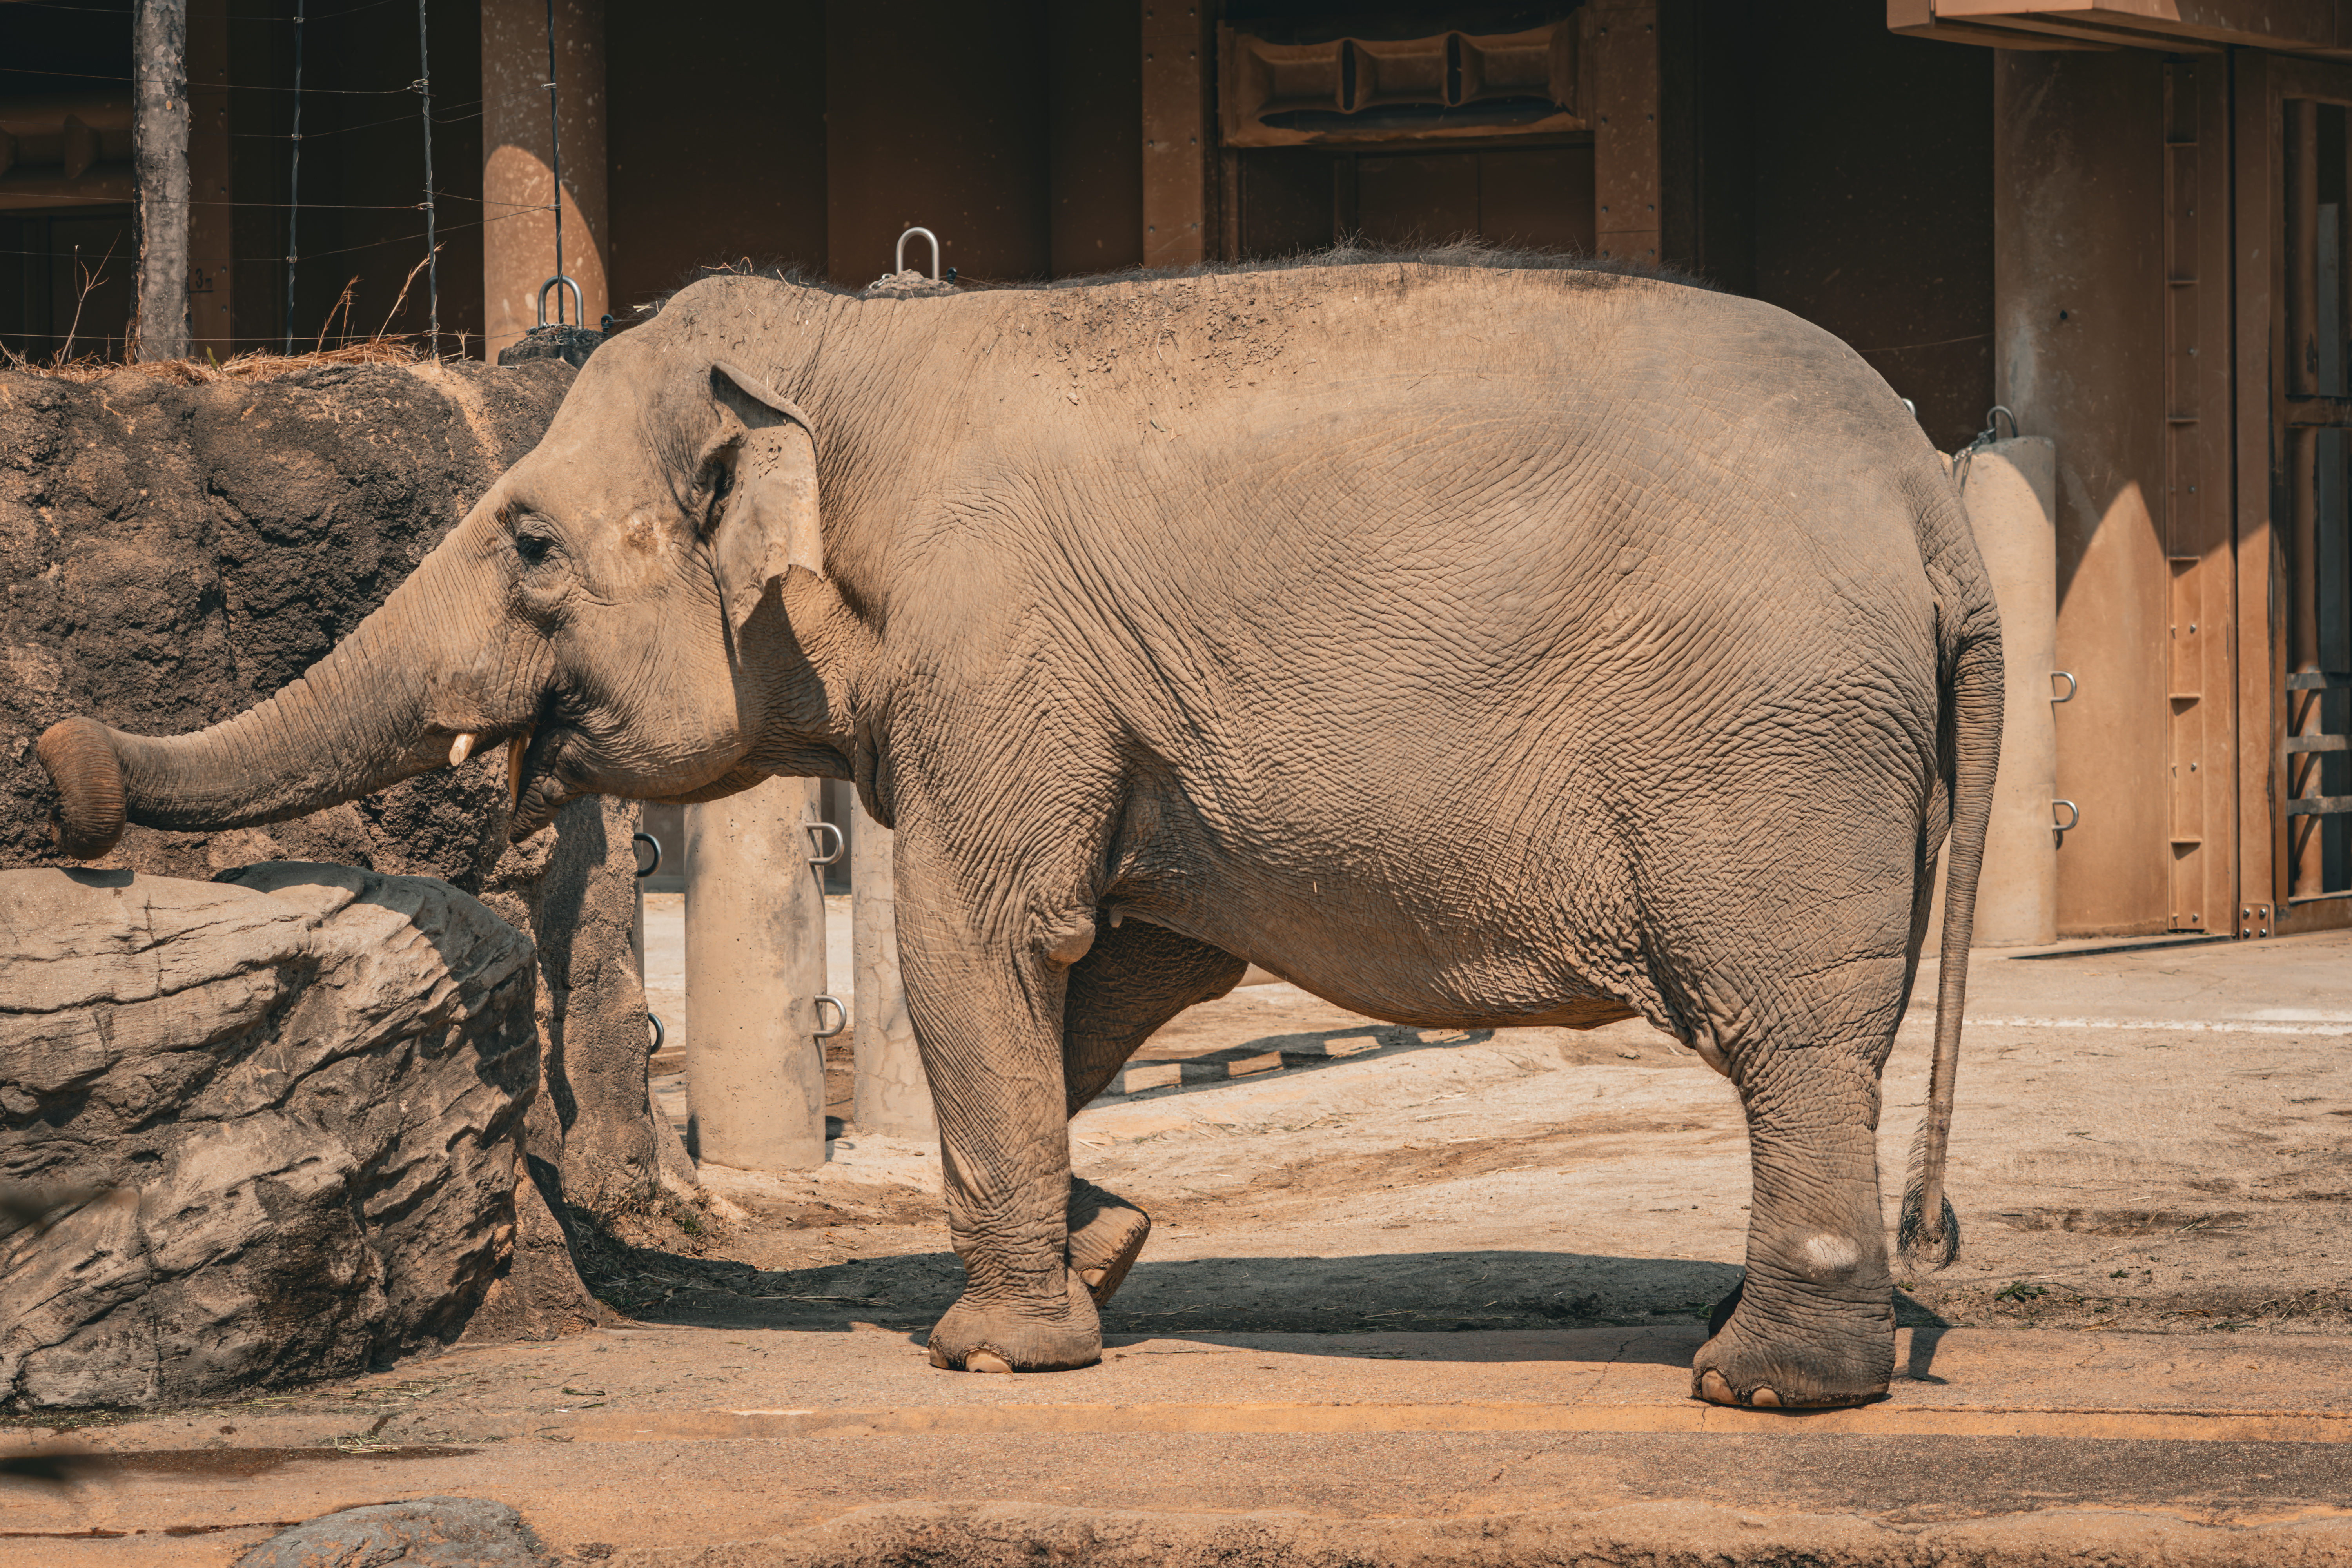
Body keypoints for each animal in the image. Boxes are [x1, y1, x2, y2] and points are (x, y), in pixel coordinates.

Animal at [37, 247, 2001, 1410]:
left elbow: (985, 937)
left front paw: (994, 1348)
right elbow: (1134, 956)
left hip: (1771, 743)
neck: (851, 342)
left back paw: (1764, 1380)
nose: (60, 770)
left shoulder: (996, 637)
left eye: (524, 539)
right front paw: (1105, 1239)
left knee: (1787, 1026)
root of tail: (1930, 493)